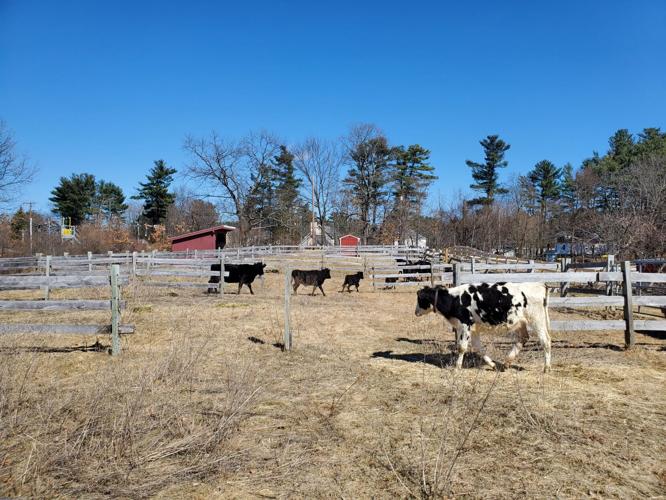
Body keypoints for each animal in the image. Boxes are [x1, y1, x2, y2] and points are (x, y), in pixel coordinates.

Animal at [415, 282, 551, 372]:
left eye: (419, 298)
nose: (415, 312)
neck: (455, 299)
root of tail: (539, 285)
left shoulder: (465, 325)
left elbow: (461, 347)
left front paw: (457, 367)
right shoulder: (473, 328)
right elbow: (479, 348)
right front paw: (492, 365)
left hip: (537, 321)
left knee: (545, 341)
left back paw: (546, 368)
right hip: (521, 322)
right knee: (523, 338)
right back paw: (506, 363)